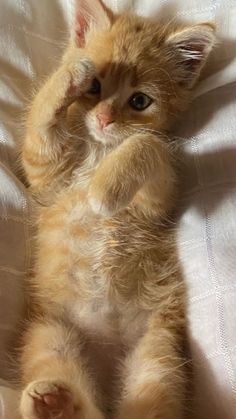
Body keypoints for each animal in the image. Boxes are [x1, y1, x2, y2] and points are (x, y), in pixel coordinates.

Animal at [19, 0, 216, 419]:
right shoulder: (45, 173)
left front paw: (105, 189)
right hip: (50, 333)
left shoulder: (158, 199)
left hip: (159, 351)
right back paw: (53, 402)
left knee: (149, 401)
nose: (105, 119)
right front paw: (70, 71)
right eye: (94, 87)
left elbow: (147, 144)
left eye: (139, 101)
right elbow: (41, 121)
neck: (100, 149)